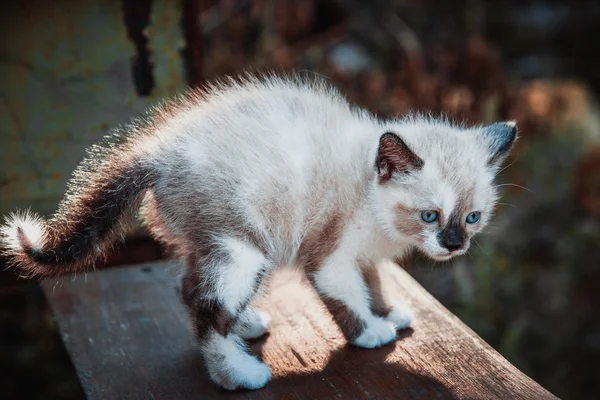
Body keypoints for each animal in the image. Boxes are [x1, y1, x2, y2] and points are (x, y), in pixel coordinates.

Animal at [0, 74, 516, 390]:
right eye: (431, 216)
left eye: (472, 218)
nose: (454, 245)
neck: (367, 188)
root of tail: (158, 152)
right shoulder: (328, 255)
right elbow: (347, 296)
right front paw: (371, 332)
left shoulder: (365, 253)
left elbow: (373, 283)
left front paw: (389, 312)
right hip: (243, 247)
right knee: (206, 307)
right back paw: (236, 374)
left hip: (219, 241)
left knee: (189, 286)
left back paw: (243, 325)